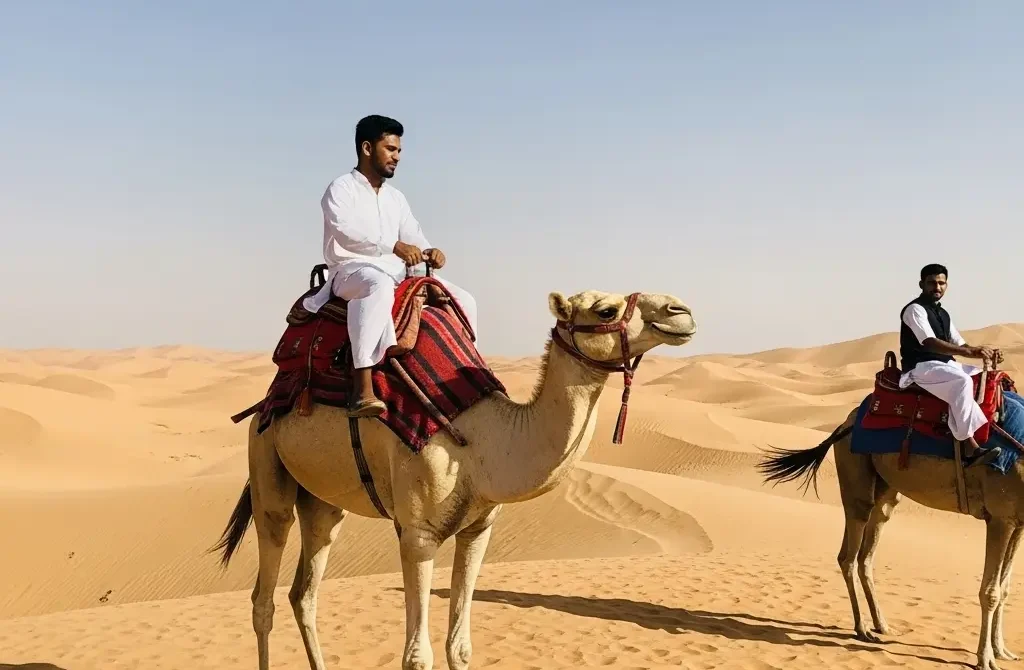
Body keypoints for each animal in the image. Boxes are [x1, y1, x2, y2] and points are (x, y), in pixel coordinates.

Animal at [213, 288, 696, 670]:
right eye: (605, 310)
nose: (681, 311)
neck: (483, 440)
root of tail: (266, 399)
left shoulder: (479, 529)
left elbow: (459, 647)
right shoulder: (417, 534)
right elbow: (416, 655)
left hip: (322, 502)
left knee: (305, 591)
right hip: (265, 460)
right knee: (264, 593)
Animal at [758, 404, 1024, 670]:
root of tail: (845, 424)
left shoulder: (1017, 522)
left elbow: (1005, 588)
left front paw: (1002, 651)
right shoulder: (1000, 517)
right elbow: (991, 592)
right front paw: (985, 659)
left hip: (884, 488)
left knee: (866, 550)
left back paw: (882, 625)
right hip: (855, 470)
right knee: (850, 553)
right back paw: (863, 629)